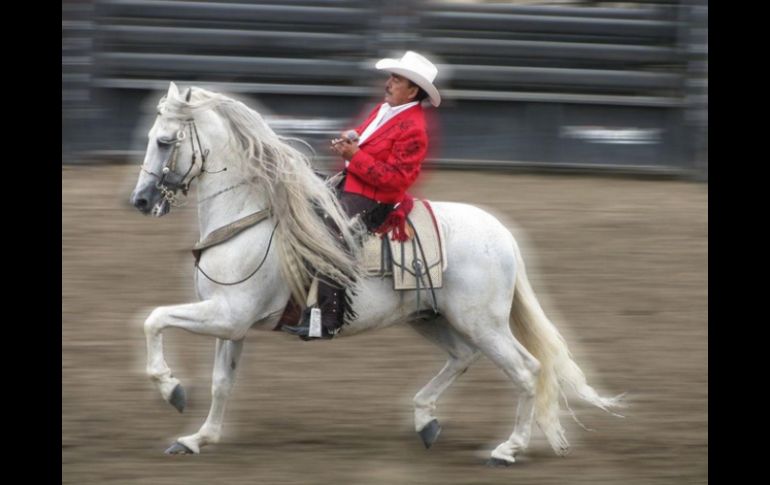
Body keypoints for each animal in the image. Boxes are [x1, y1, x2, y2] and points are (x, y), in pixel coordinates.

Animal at [129, 83, 620, 466]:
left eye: (166, 141)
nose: (140, 200)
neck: (251, 217)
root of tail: (504, 236)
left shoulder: (227, 314)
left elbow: (154, 319)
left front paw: (171, 389)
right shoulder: (232, 322)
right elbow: (221, 383)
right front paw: (197, 439)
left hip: (483, 323)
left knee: (526, 369)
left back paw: (507, 449)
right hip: (432, 319)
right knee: (464, 357)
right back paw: (425, 419)